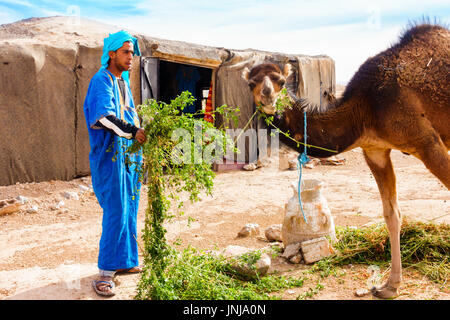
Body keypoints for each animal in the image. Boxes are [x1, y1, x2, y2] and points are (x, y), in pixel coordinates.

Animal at [243, 23, 450, 300]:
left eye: (280, 81)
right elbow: (391, 214)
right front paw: (389, 286)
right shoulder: (375, 150)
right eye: (251, 82)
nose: (267, 95)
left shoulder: (427, 142)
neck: (365, 109)